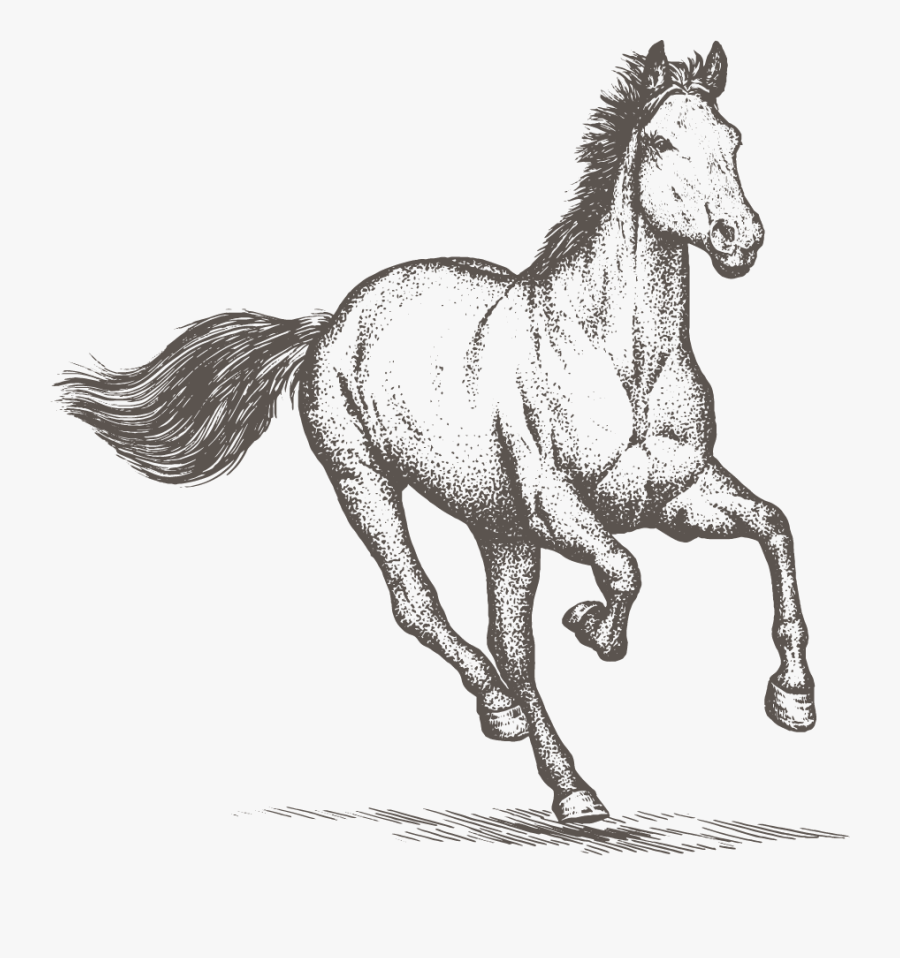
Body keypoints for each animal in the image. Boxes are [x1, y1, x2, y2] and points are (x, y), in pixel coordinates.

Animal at [58, 40, 815, 824]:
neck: (621, 362)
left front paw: (793, 701)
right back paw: (546, 760)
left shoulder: (677, 497)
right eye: (664, 142)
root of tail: (329, 324)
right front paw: (593, 627)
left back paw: (543, 754)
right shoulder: (557, 510)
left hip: (500, 531)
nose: (740, 239)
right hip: (369, 487)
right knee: (424, 609)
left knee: (509, 644)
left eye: (733, 140)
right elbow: (624, 571)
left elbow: (774, 527)